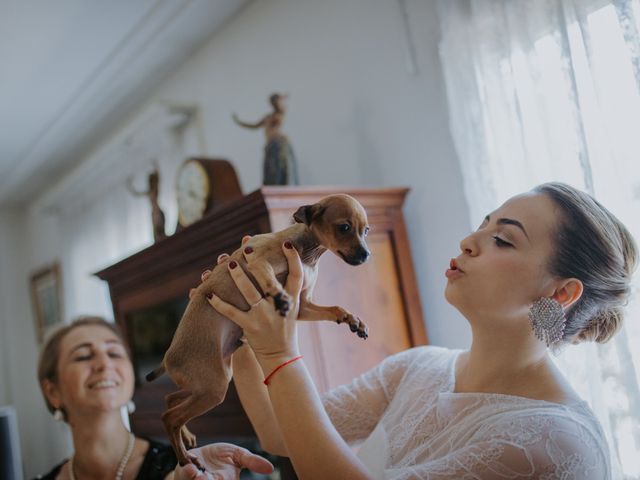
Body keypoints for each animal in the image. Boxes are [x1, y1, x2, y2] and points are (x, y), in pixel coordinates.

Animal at [146, 193, 370, 466]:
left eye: (366, 231)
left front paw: (351, 319)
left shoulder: (302, 307)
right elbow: (270, 279)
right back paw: (186, 459)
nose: (366, 255)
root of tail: (167, 359)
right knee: (170, 417)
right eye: (344, 227)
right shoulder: (260, 262)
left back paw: (186, 440)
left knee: (169, 401)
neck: (308, 253)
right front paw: (277, 295)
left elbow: (333, 308)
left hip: (204, 385)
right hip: (212, 388)